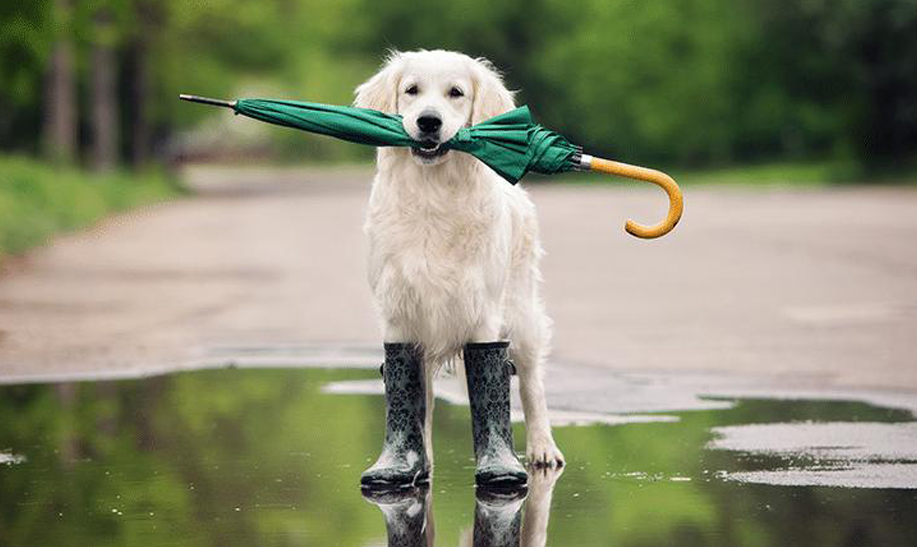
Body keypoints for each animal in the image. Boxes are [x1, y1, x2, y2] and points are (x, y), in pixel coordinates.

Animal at [354, 51, 560, 468]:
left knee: (532, 382)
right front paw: (410, 462)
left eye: (456, 93)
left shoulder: (482, 312)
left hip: (521, 313)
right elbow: (413, 397)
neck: (434, 195)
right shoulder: (399, 313)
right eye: (411, 90)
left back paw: (542, 448)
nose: (428, 122)